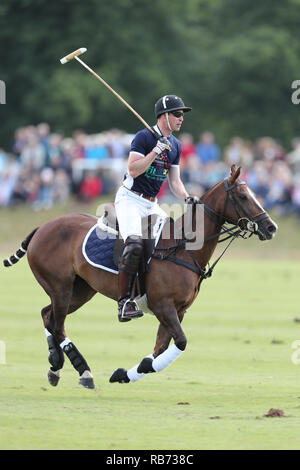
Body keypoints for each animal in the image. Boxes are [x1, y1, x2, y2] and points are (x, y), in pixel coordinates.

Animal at [2, 166, 278, 390]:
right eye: (242, 196)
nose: (271, 227)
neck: (182, 247)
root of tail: (42, 228)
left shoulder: (178, 310)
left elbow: (159, 350)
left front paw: (124, 374)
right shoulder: (164, 305)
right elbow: (180, 342)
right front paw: (125, 372)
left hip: (81, 290)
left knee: (47, 316)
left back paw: (55, 366)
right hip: (61, 287)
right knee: (57, 325)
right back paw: (84, 372)